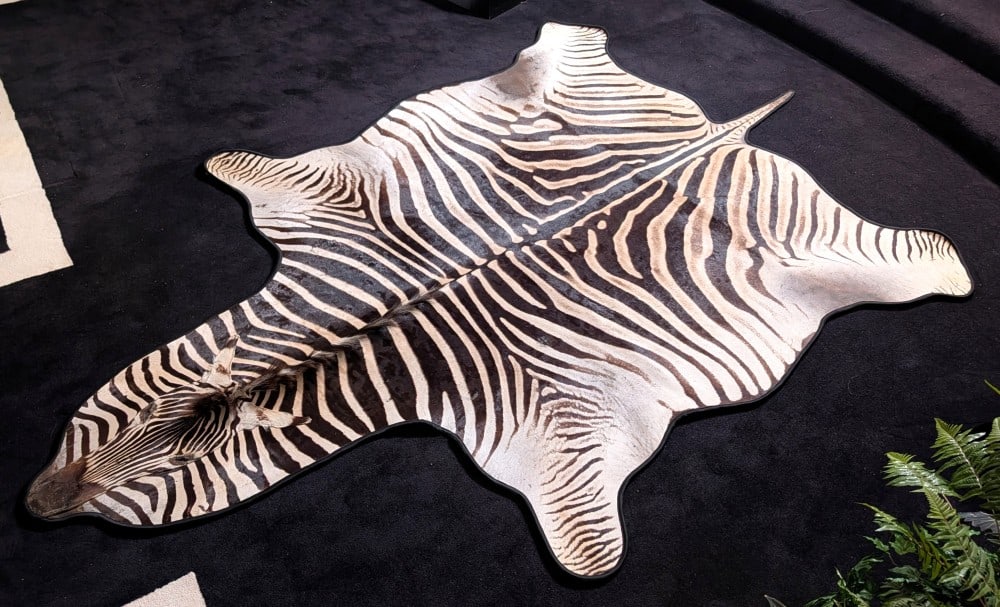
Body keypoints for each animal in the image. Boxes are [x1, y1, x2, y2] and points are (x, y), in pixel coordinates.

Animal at [26, 22, 971, 577]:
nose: (33, 506)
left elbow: (582, 539)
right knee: (561, 49)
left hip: (825, 247)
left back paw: (951, 266)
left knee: (912, 260)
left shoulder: (553, 419)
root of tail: (711, 134)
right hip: (563, 94)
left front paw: (592, 560)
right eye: (110, 417)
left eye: (167, 473)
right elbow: (258, 176)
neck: (363, 335)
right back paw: (569, 34)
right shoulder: (329, 206)